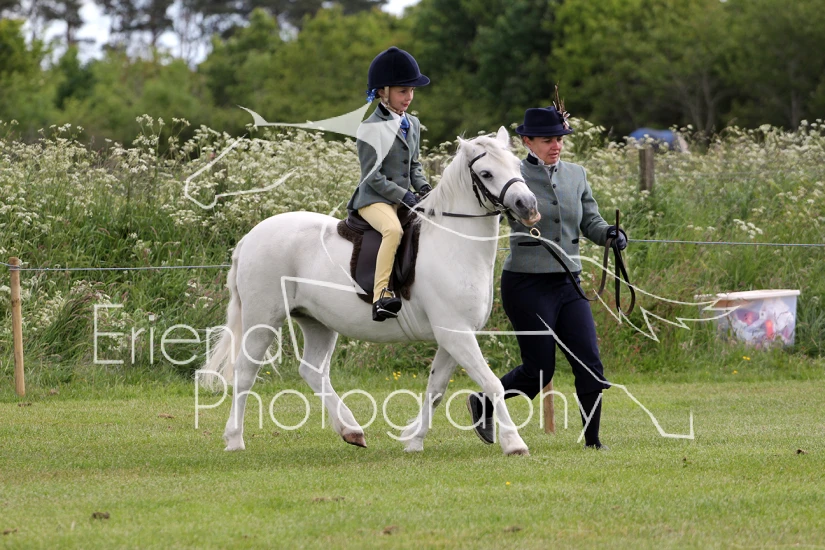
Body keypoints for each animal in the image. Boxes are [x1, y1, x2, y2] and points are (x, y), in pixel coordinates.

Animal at [201, 126, 541, 455]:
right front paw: (514, 443)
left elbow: (436, 390)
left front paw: (414, 441)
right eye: (486, 173)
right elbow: (493, 383)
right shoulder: (455, 333)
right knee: (245, 372)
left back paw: (351, 430)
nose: (528, 205)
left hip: (316, 321)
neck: (454, 241)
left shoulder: (454, 334)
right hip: (262, 320)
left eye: (516, 165)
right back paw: (234, 439)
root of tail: (251, 237)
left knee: (312, 371)